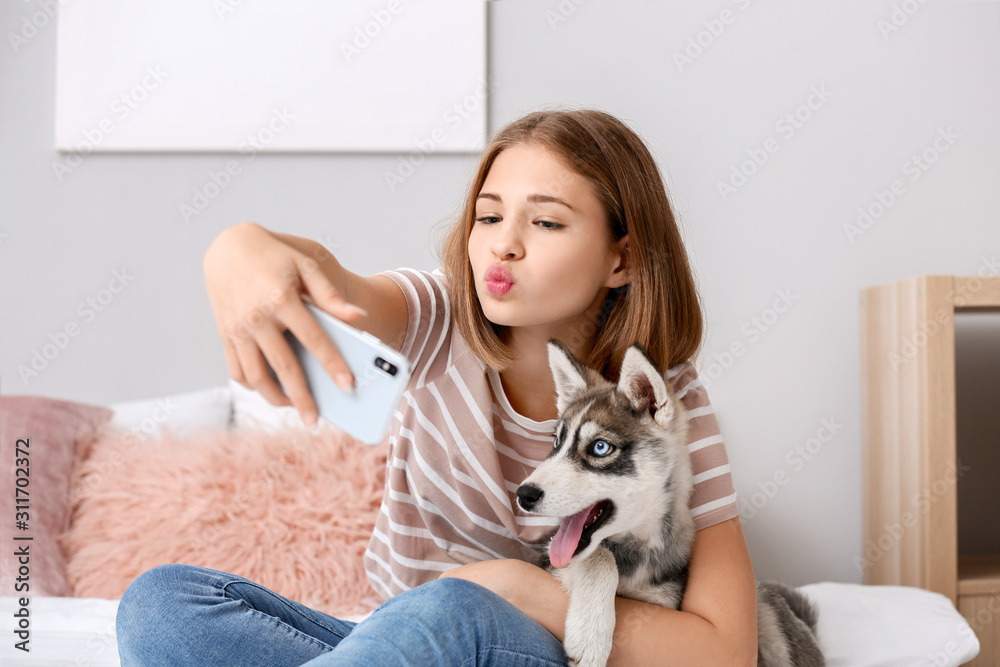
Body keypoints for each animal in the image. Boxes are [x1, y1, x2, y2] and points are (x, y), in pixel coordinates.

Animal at [516, 342, 820, 667]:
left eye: (600, 447)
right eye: (556, 444)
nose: (524, 494)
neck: (634, 548)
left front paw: (589, 635)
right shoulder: (552, 563)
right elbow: (599, 556)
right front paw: (590, 634)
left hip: (765, 607)